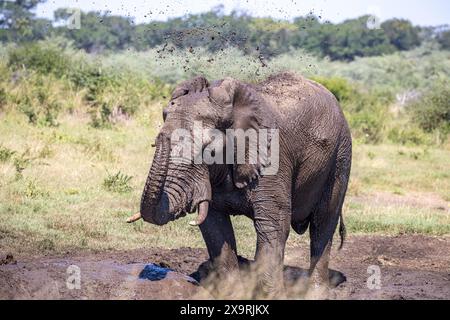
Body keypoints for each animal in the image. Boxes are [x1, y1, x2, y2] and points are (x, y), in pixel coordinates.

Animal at [128, 72, 354, 298]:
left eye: (209, 150)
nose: (161, 137)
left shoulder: (272, 157)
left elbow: (272, 225)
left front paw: (271, 296)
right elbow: (214, 226)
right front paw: (233, 294)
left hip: (341, 156)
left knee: (323, 222)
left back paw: (316, 294)